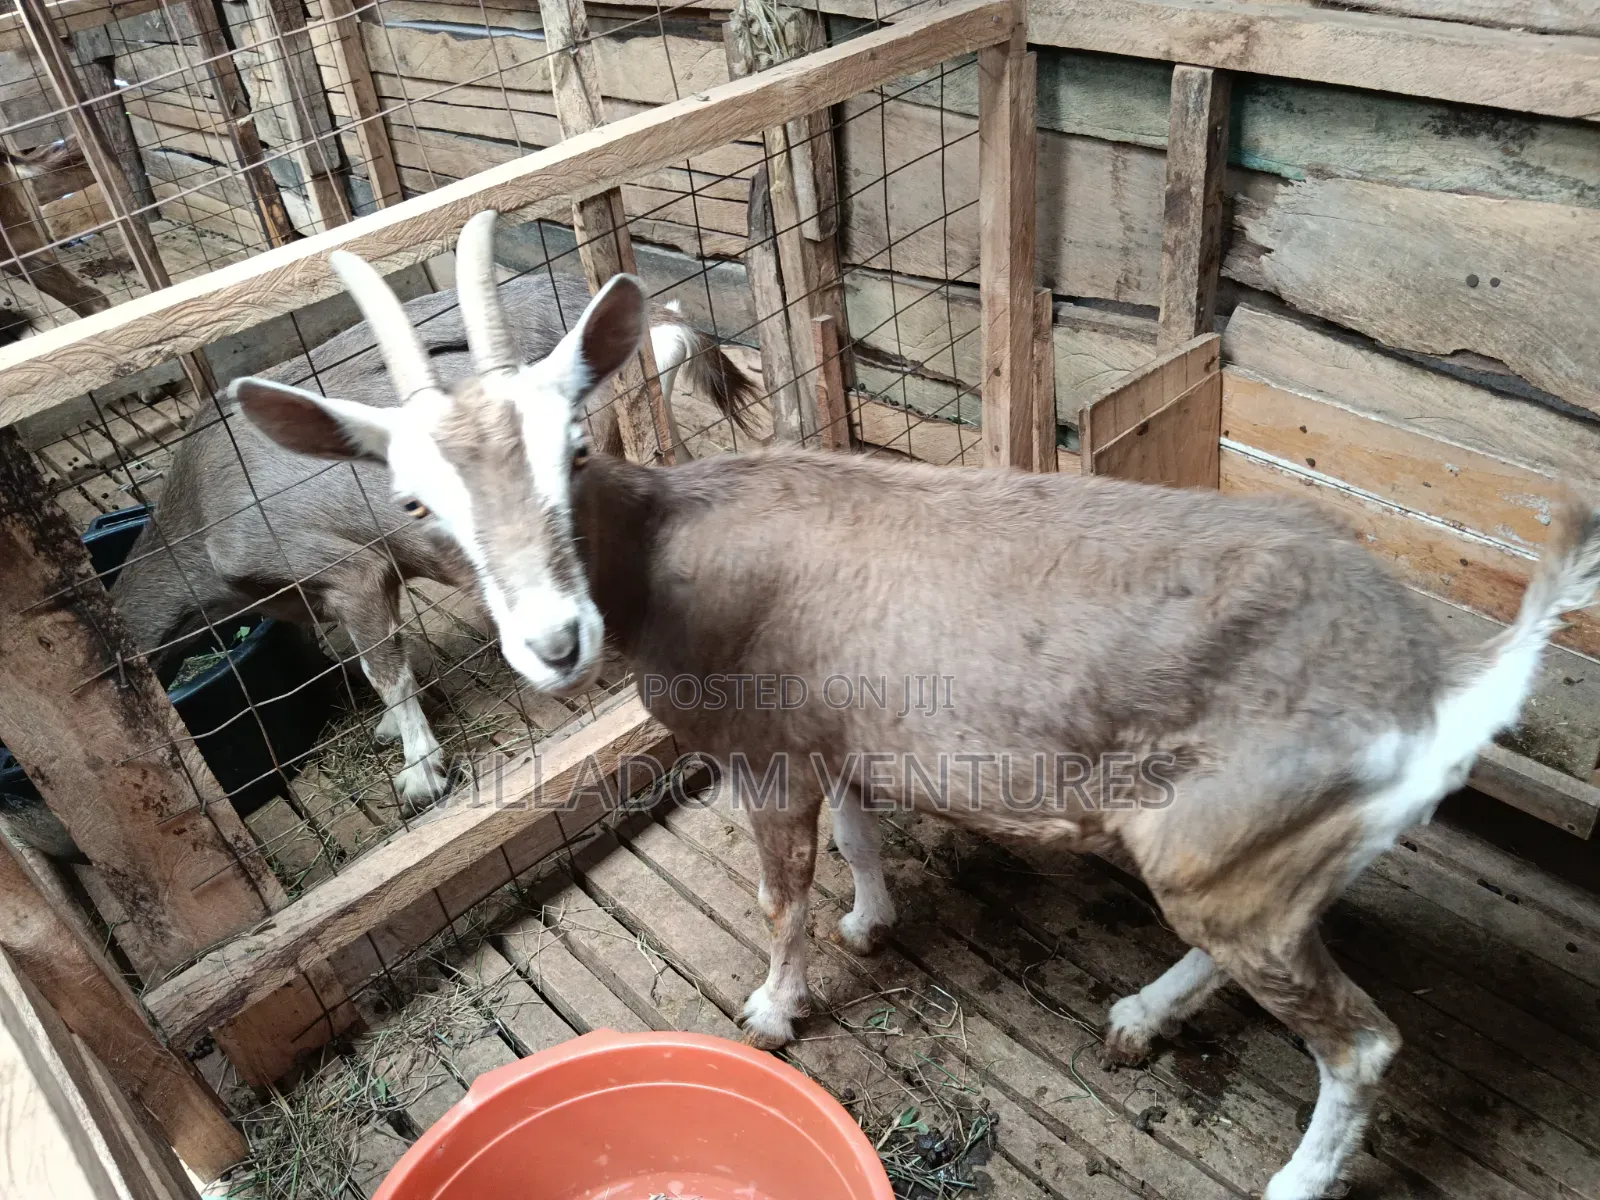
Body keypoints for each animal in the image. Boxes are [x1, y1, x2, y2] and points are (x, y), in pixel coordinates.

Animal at [233, 211, 1600, 1200]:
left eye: (573, 445)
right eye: (416, 499)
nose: (554, 641)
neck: (672, 554)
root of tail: (1444, 679)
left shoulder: (763, 750)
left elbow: (779, 888)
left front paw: (774, 1007)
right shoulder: (833, 730)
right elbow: (855, 835)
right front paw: (872, 923)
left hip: (1238, 847)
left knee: (1359, 1043)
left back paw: (1287, 1177)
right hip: (1258, 856)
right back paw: (1137, 1018)